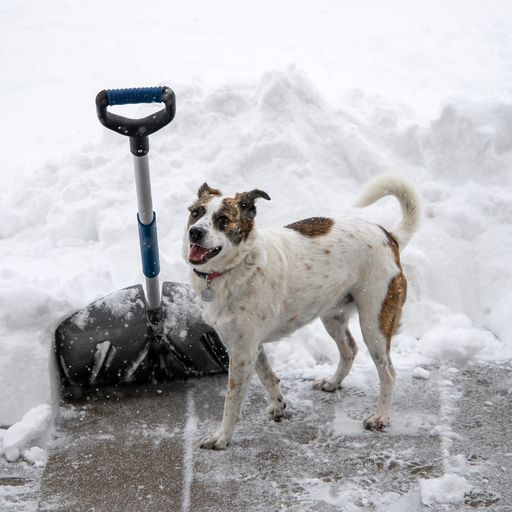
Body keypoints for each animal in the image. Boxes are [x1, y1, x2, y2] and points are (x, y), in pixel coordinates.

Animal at [182, 175, 422, 448]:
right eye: (196, 213)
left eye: (223, 219)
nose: (195, 232)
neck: (238, 267)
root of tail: (389, 235)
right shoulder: (251, 346)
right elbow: (268, 377)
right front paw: (279, 407)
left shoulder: (242, 351)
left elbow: (231, 400)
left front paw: (222, 436)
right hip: (332, 315)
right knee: (349, 350)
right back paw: (332, 383)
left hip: (375, 323)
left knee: (388, 373)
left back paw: (380, 415)